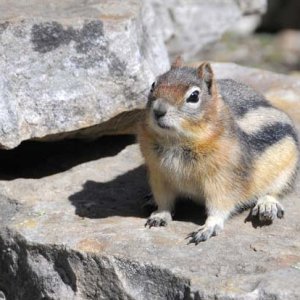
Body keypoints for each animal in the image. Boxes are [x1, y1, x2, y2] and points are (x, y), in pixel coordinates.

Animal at [138, 58, 298, 244]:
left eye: (194, 96)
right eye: (153, 84)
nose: (158, 111)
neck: (175, 141)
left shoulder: (222, 179)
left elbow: (219, 205)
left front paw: (208, 227)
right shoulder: (159, 175)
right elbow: (164, 200)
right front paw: (159, 214)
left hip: (287, 170)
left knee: (277, 190)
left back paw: (267, 204)